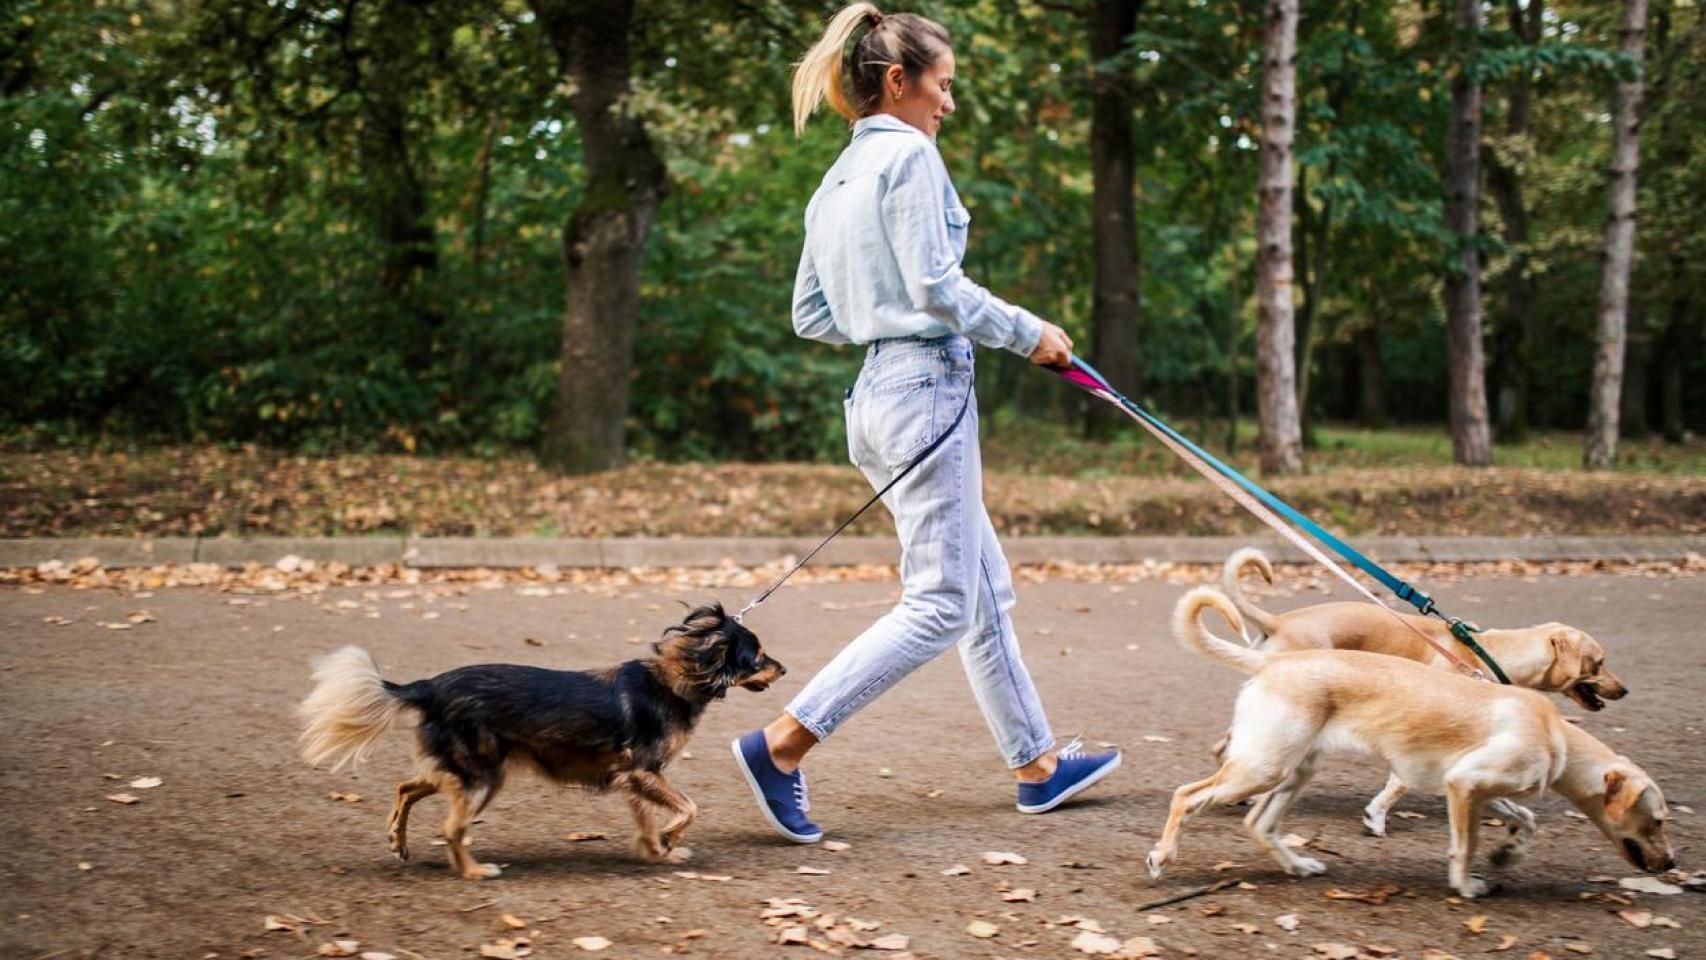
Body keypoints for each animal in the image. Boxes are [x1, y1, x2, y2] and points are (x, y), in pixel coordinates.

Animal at [301, 603, 784, 879]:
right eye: (757, 655)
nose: (785, 668)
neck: (677, 678)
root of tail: (430, 686)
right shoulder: (643, 772)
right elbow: (689, 807)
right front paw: (667, 839)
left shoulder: (634, 779)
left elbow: (649, 820)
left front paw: (657, 851)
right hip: (482, 777)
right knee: (452, 828)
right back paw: (475, 872)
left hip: (465, 771)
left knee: (406, 787)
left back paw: (398, 843)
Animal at [1146, 586, 1678, 900]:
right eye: (1656, 821)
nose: (1672, 862)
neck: (1553, 733)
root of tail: (1273, 659)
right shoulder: (1462, 784)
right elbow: (1462, 843)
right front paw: (1466, 884)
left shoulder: (1471, 784)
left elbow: (1523, 817)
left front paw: (1507, 854)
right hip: (1264, 767)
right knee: (1187, 795)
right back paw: (1163, 856)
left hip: (1293, 768)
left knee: (1259, 824)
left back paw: (1296, 865)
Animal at [1228, 545, 1624, 838]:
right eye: (1599, 662)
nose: (1625, 689)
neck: (1490, 652)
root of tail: (1278, 621)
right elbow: (1399, 784)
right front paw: (1376, 816)